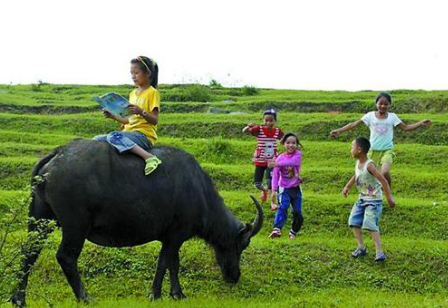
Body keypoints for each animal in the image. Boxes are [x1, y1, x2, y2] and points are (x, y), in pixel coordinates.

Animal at [10, 139, 262, 306]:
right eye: (242, 245)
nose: (234, 276)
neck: (199, 191)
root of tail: (57, 154)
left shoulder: (173, 237)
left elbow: (174, 264)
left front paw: (177, 294)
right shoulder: (175, 235)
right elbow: (164, 262)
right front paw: (155, 294)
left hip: (39, 219)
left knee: (29, 252)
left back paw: (18, 298)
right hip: (75, 226)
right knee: (66, 257)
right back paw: (85, 297)